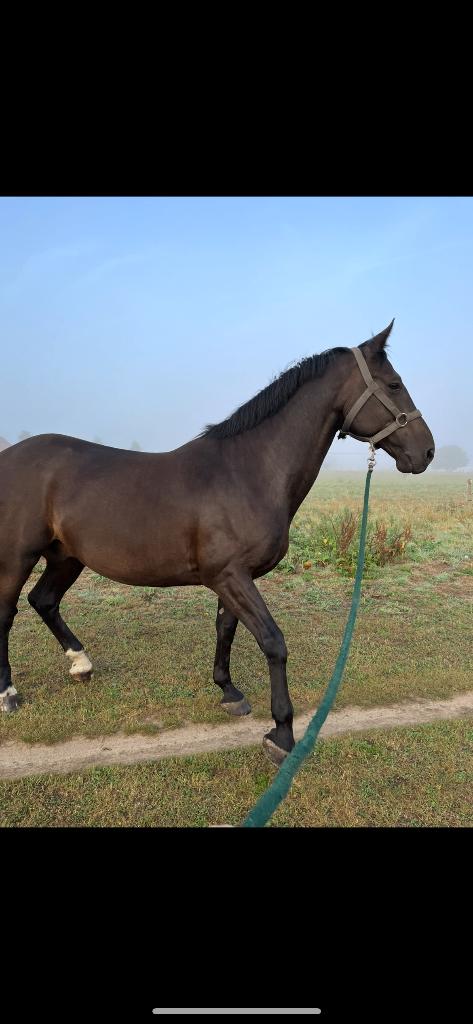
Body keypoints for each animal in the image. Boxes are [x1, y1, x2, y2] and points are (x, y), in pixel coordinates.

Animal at [0, 321, 434, 764]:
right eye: (394, 384)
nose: (427, 452)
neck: (247, 472)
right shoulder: (230, 576)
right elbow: (272, 641)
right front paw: (281, 733)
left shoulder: (234, 577)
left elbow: (226, 627)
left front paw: (229, 692)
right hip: (17, 557)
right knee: (7, 613)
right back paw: (9, 693)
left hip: (66, 556)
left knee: (44, 600)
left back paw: (81, 665)